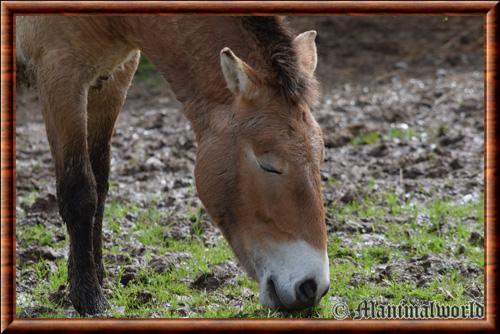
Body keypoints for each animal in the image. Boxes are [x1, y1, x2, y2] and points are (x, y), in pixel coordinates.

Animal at [15, 15, 330, 314]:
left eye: (320, 157)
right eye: (268, 165)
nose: (311, 287)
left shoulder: (113, 80)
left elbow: (100, 185)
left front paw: (95, 278)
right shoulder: (61, 76)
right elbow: (80, 192)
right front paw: (89, 297)